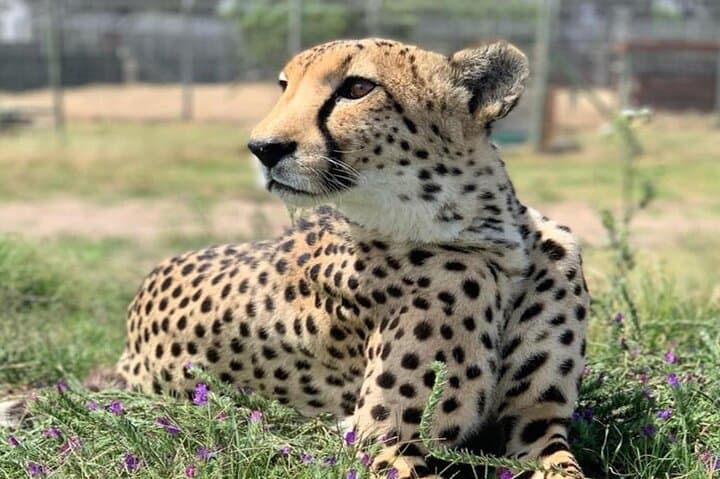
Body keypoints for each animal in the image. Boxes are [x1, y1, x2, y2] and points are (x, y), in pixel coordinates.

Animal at [116, 38, 590, 478]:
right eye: (284, 87)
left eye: (358, 88)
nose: (263, 148)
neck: (492, 239)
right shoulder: (383, 439)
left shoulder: (536, 423)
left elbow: (567, 466)